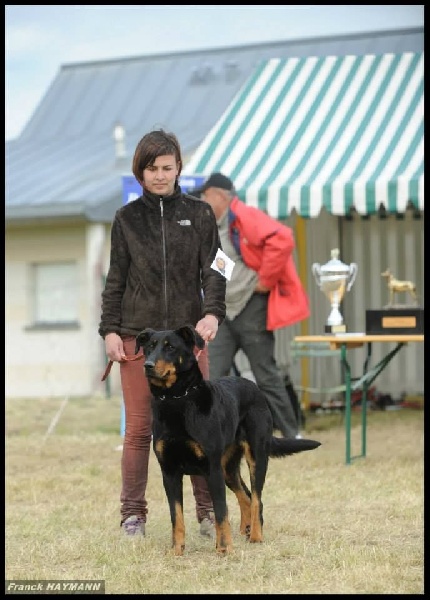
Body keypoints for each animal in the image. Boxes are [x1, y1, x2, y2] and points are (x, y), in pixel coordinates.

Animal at [135, 324, 321, 556]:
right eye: (149, 347)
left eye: (170, 347)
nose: (148, 365)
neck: (177, 400)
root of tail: (254, 387)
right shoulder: (169, 472)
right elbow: (176, 516)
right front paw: (177, 550)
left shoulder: (211, 469)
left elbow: (221, 512)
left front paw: (224, 548)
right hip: (228, 468)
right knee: (247, 497)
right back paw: (247, 530)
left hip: (255, 458)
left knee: (256, 498)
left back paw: (256, 536)